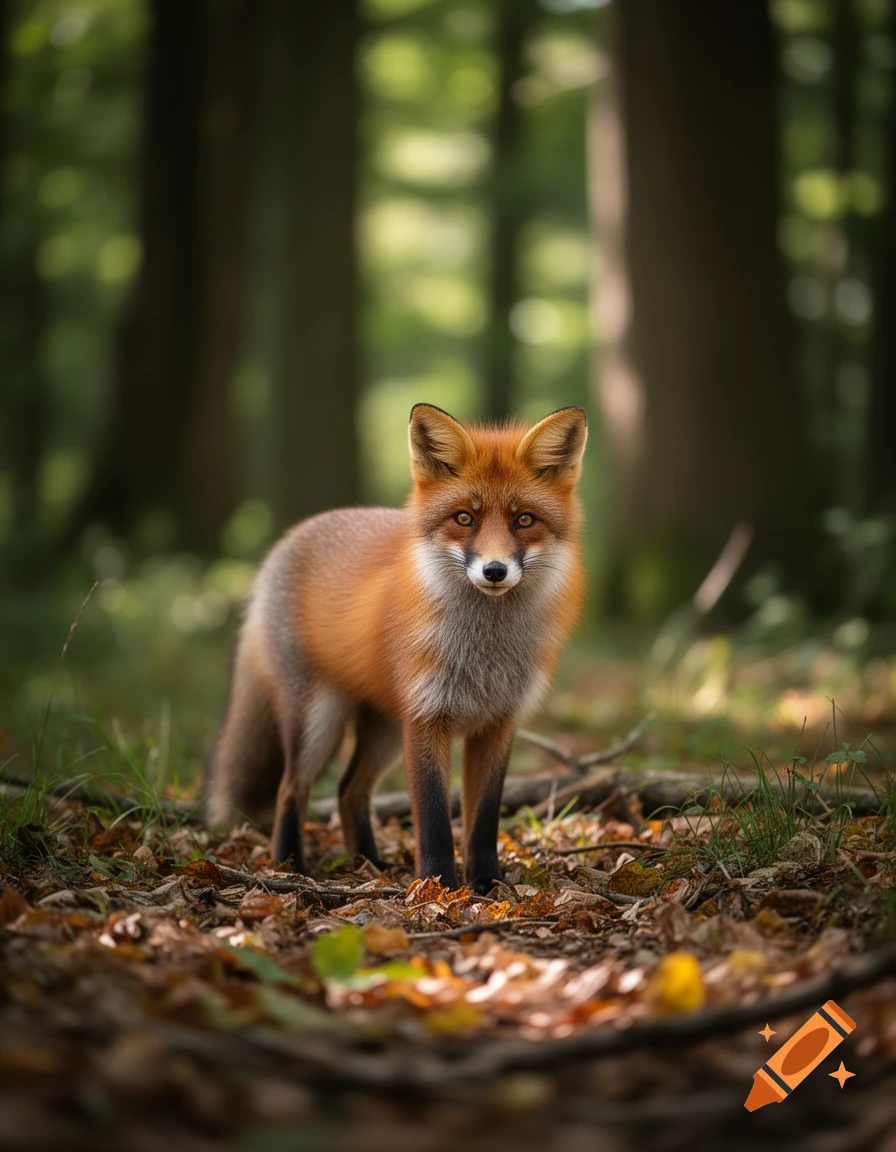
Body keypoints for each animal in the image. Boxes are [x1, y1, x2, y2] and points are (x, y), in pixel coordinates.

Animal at [205, 403, 587, 893]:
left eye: (524, 520)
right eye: (464, 518)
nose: (495, 570)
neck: (485, 652)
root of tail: (294, 535)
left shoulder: (498, 723)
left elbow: (483, 819)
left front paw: (487, 884)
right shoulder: (426, 718)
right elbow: (433, 816)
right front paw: (439, 886)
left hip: (384, 728)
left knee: (350, 791)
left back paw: (369, 863)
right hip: (318, 721)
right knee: (290, 788)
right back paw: (290, 865)